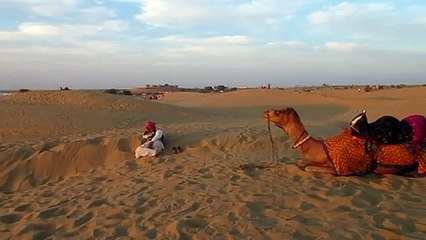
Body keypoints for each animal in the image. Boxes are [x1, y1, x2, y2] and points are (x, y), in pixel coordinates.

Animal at [264, 108, 424, 175]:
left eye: (278, 112)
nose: (265, 112)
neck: (320, 148)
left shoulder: (336, 167)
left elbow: (308, 168)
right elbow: (302, 162)